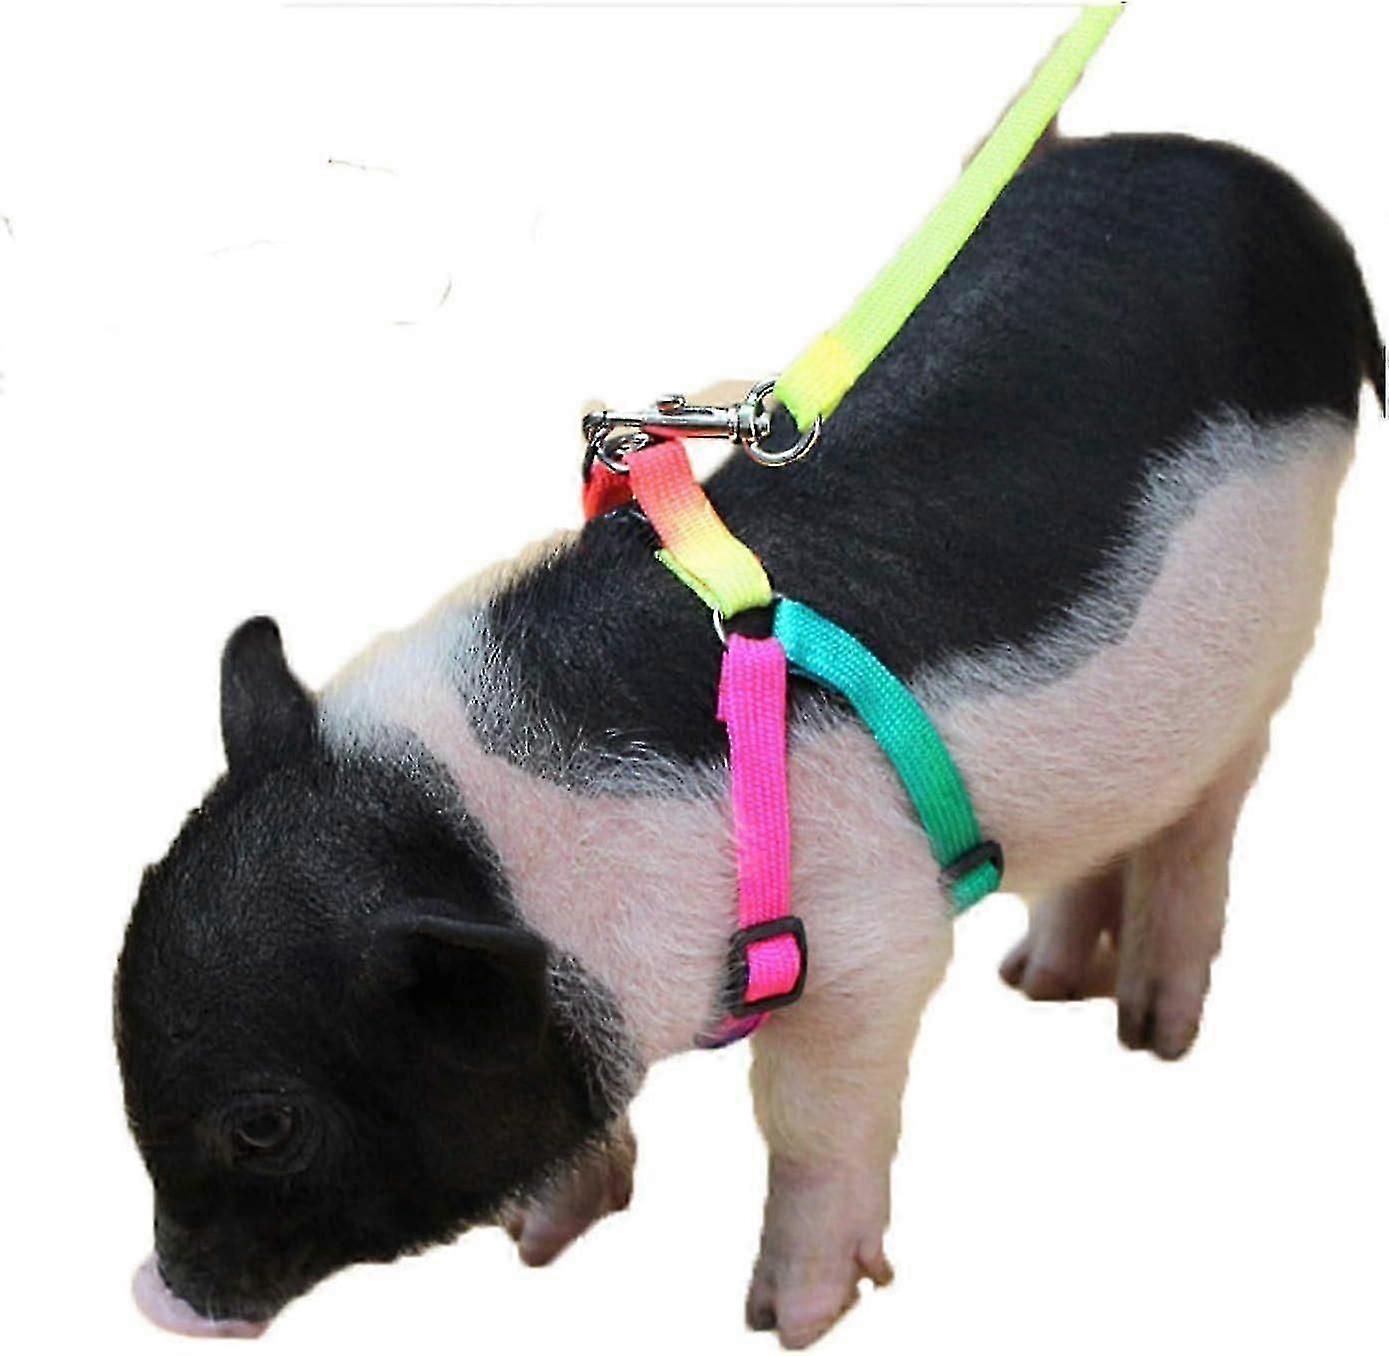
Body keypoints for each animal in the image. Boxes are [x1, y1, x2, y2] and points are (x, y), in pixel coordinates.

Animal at [115, 133, 1384, 1348]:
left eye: (265, 1125)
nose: (155, 1301)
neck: (487, 842)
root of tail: (1281, 203)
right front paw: (539, 1243)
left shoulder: (874, 943)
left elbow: (809, 1122)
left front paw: (789, 1320)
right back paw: (1039, 984)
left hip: (1271, 652)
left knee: (1201, 827)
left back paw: (1152, 1034)